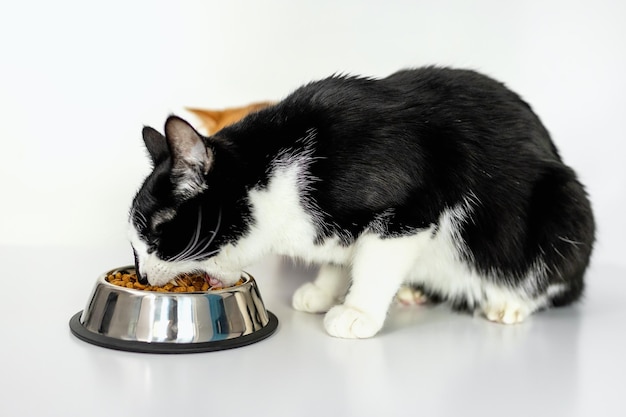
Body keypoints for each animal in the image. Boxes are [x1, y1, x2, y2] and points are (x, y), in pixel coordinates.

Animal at [127, 66, 588, 338]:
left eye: (156, 230)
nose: (144, 275)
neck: (278, 174)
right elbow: (339, 254)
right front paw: (324, 290)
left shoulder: (411, 208)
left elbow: (376, 263)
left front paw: (358, 311)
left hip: (564, 206)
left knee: (557, 280)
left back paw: (510, 303)